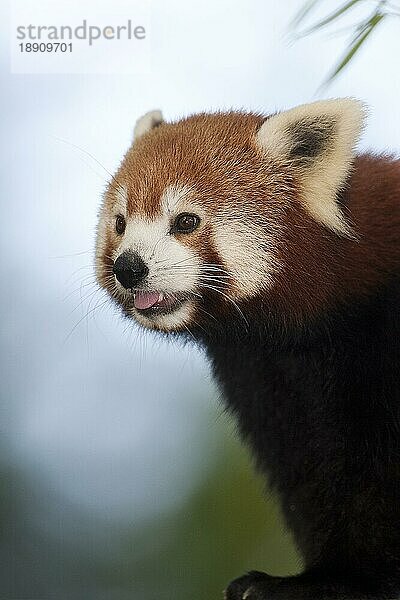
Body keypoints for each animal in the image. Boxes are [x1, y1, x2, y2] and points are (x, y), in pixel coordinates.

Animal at [96, 98, 400, 600]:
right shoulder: (265, 378)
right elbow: (311, 470)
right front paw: (322, 575)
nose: (128, 267)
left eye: (185, 222)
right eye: (120, 224)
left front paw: (353, 581)